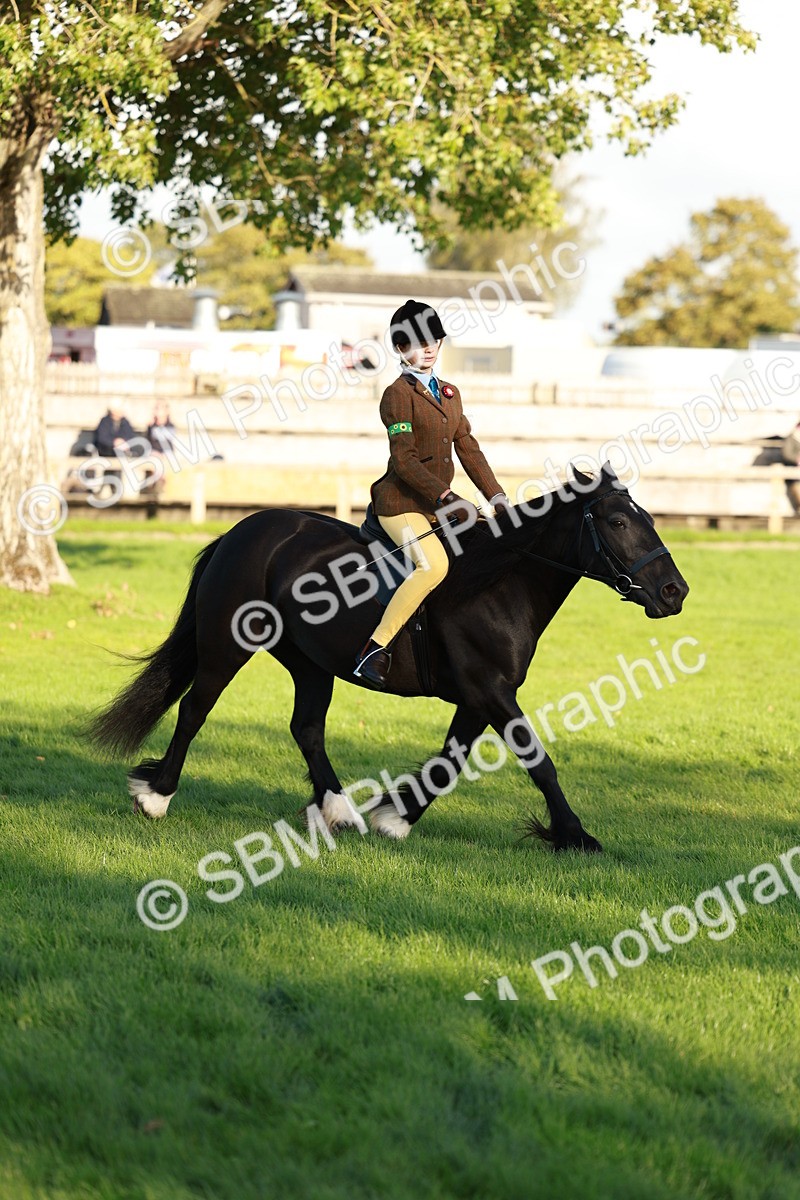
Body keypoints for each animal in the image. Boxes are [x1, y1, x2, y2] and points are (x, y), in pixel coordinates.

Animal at [89, 463, 689, 852]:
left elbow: (449, 763)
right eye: (617, 522)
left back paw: (338, 811)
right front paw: (574, 836)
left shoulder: (480, 697)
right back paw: (157, 797)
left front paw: (393, 818)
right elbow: (538, 760)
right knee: (195, 709)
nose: (674, 593)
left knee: (307, 729)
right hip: (226, 646)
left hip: (310, 662)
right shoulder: (490, 690)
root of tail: (243, 529)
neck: (500, 580)